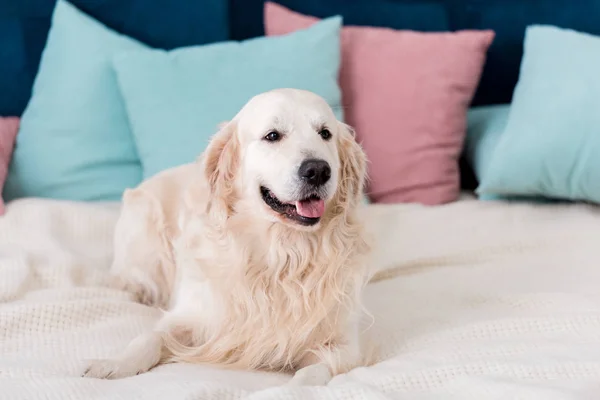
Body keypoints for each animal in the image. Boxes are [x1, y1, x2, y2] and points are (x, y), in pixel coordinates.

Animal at [82, 88, 372, 388]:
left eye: (325, 133)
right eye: (273, 135)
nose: (318, 171)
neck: (282, 253)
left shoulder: (345, 344)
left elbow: (314, 374)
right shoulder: (195, 315)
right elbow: (149, 337)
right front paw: (114, 363)